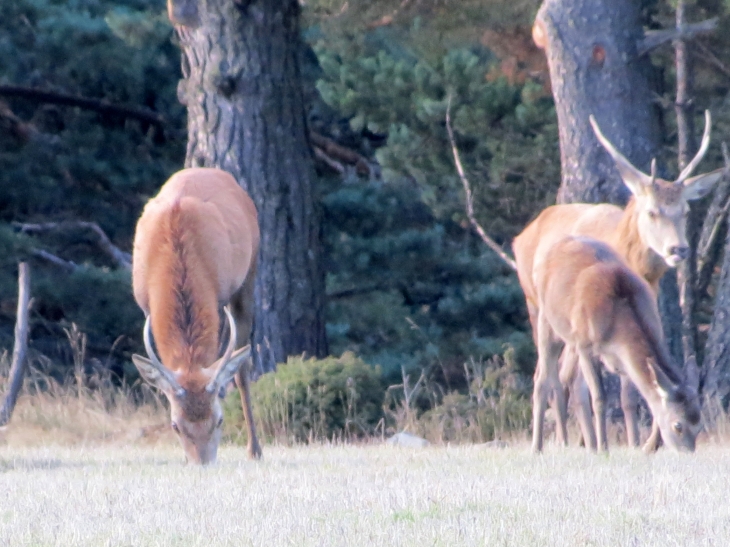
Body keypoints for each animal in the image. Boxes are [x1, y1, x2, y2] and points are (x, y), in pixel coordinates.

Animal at [132, 166, 262, 462]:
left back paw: (254, 449)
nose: (202, 462)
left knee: (242, 367)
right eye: (175, 425)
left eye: (219, 420)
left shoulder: (220, 297)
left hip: (249, 275)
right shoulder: (145, 306)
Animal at [512, 110, 724, 450]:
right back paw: (554, 443)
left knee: (566, 379)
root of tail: (521, 235)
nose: (678, 249)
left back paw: (579, 440)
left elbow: (629, 395)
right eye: (652, 211)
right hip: (535, 307)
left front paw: (641, 445)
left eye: (685, 211)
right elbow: (595, 391)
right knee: (547, 377)